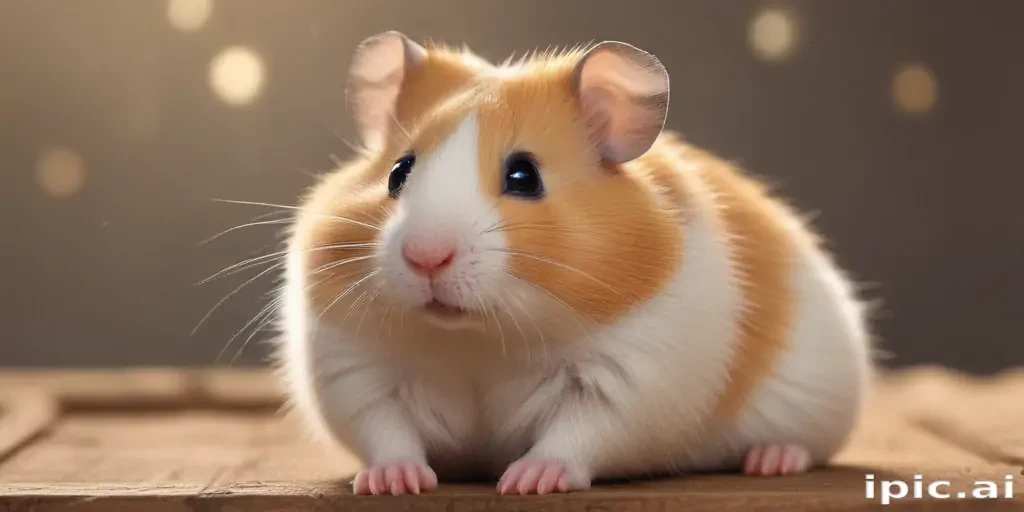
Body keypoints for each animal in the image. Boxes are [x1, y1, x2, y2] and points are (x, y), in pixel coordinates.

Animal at [276, 31, 874, 496]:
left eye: (524, 176)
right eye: (399, 172)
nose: (426, 255)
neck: (478, 339)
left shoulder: (627, 380)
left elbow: (577, 436)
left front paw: (526, 481)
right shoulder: (355, 372)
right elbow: (386, 432)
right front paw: (392, 483)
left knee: (804, 445)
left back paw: (771, 460)